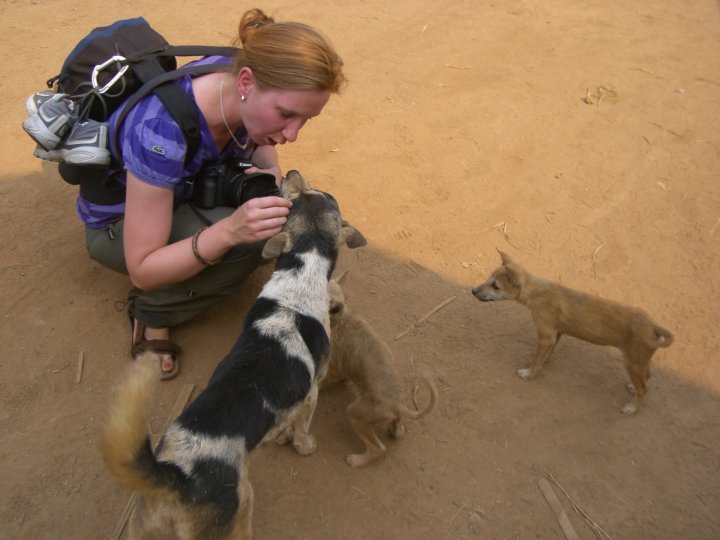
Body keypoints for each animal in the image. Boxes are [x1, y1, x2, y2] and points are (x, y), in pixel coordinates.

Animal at [101, 170, 367, 540]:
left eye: (305, 195)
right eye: (326, 194)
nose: (292, 173)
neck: (299, 277)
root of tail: (175, 479)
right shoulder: (311, 392)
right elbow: (301, 429)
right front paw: (304, 446)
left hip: (141, 527)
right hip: (239, 508)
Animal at [320, 273, 437, 467]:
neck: (340, 316)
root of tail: (398, 404)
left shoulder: (333, 368)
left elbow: (322, 381)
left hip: (355, 414)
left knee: (378, 449)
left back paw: (357, 460)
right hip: (387, 418)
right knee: (398, 430)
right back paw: (395, 429)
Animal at [471, 251, 674, 415]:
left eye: (495, 286)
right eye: (488, 279)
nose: (472, 290)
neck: (536, 292)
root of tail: (653, 326)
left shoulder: (546, 336)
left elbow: (536, 359)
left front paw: (528, 374)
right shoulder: (556, 334)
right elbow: (545, 356)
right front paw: (541, 365)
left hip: (632, 362)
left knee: (644, 389)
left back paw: (632, 408)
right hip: (638, 361)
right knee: (646, 377)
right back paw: (632, 387)